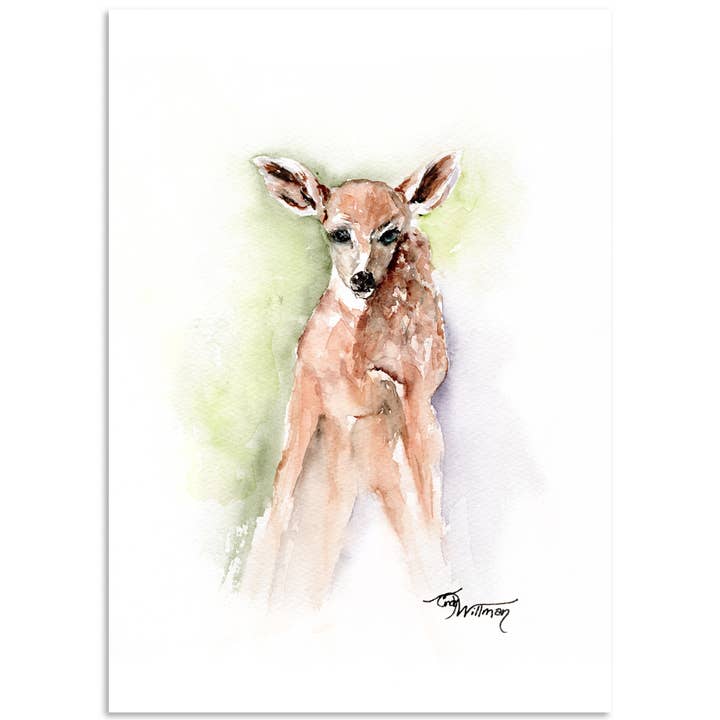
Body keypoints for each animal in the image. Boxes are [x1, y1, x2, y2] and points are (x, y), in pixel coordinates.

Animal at [241, 152, 460, 610]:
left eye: (391, 233)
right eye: (338, 233)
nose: (362, 278)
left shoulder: (414, 395)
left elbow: (426, 509)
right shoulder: (306, 386)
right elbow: (279, 498)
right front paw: (254, 587)